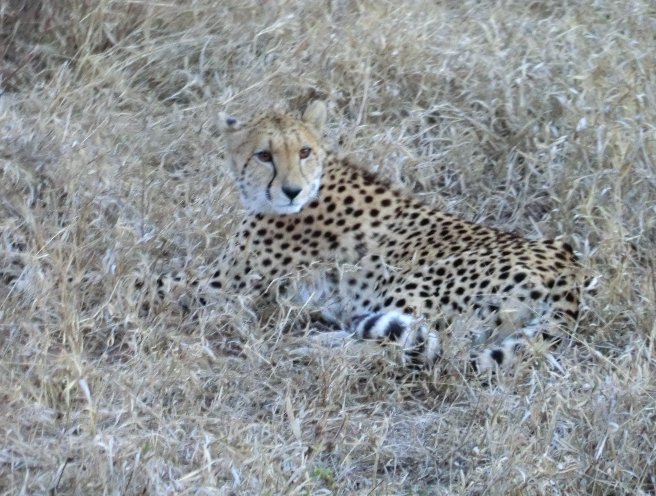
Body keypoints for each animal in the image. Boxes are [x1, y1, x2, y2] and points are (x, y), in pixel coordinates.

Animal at [184, 101, 580, 372]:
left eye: (304, 151)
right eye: (263, 155)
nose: (292, 191)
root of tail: (570, 268)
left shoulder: (217, 289)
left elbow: (169, 288)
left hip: (415, 281)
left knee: (407, 348)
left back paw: (308, 348)